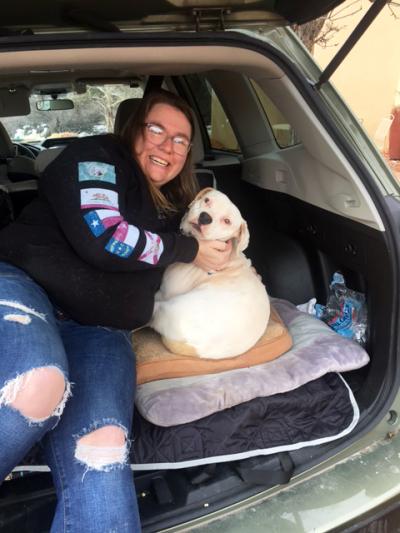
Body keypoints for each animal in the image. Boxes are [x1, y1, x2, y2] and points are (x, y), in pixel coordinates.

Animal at [151, 187, 272, 358]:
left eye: (227, 221)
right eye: (207, 200)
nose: (205, 217)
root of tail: (200, 348)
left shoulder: (166, 291)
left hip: (165, 308)